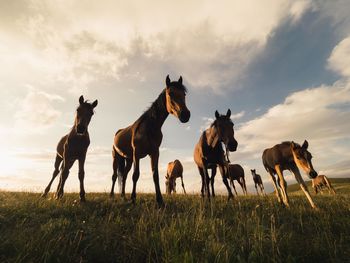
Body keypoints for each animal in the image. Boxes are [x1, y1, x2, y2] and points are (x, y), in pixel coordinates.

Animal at [110, 75, 190, 207]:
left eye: (184, 94)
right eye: (170, 93)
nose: (185, 115)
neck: (149, 127)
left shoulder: (154, 152)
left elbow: (155, 175)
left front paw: (160, 201)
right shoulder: (137, 153)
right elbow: (135, 175)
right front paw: (133, 199)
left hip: (129, 159)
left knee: (124, 175)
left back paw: (123, 196)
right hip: (117, 157)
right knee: (115, 176)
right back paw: (112, 196)